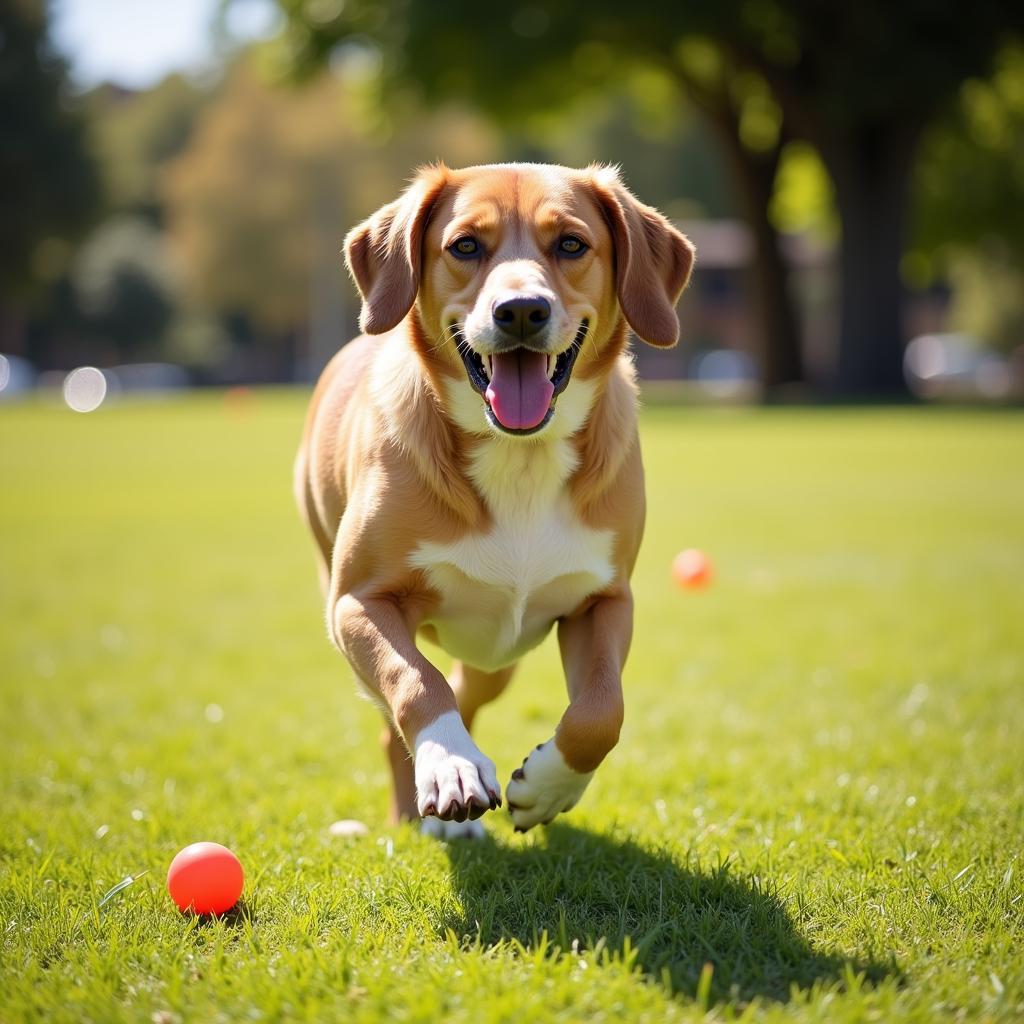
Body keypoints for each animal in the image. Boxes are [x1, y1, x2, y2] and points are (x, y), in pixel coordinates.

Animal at [296, 157, 696, 831]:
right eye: (464, 246)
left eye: (571, 244)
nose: (521, 310)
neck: (521, 456)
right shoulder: (357, 602)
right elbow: (416, 681)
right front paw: (450, 765)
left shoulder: (605, 600)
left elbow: (602, 711)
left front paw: (550, 786)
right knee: (409, 709)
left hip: (496, 661)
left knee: (471, 690)